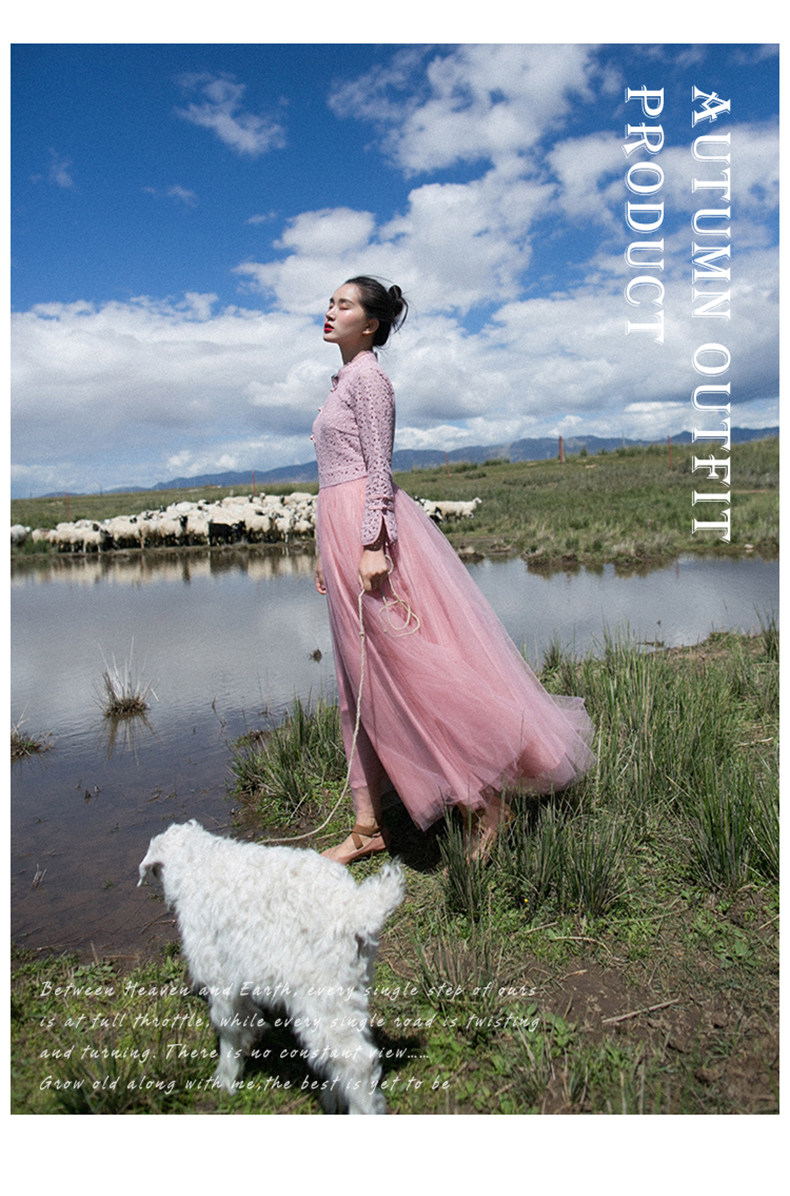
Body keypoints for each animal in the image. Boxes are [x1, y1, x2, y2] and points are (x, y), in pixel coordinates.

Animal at [138, 820, 404, 1113]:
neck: (198, 862)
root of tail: (357, 909)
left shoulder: (218, 973)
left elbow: (227, 1026)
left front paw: (225, 1079)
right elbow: (244, 1013)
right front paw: (253, 1034)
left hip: (322, 995)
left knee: (358, 1060)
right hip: (349, 986)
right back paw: (332, 1096)